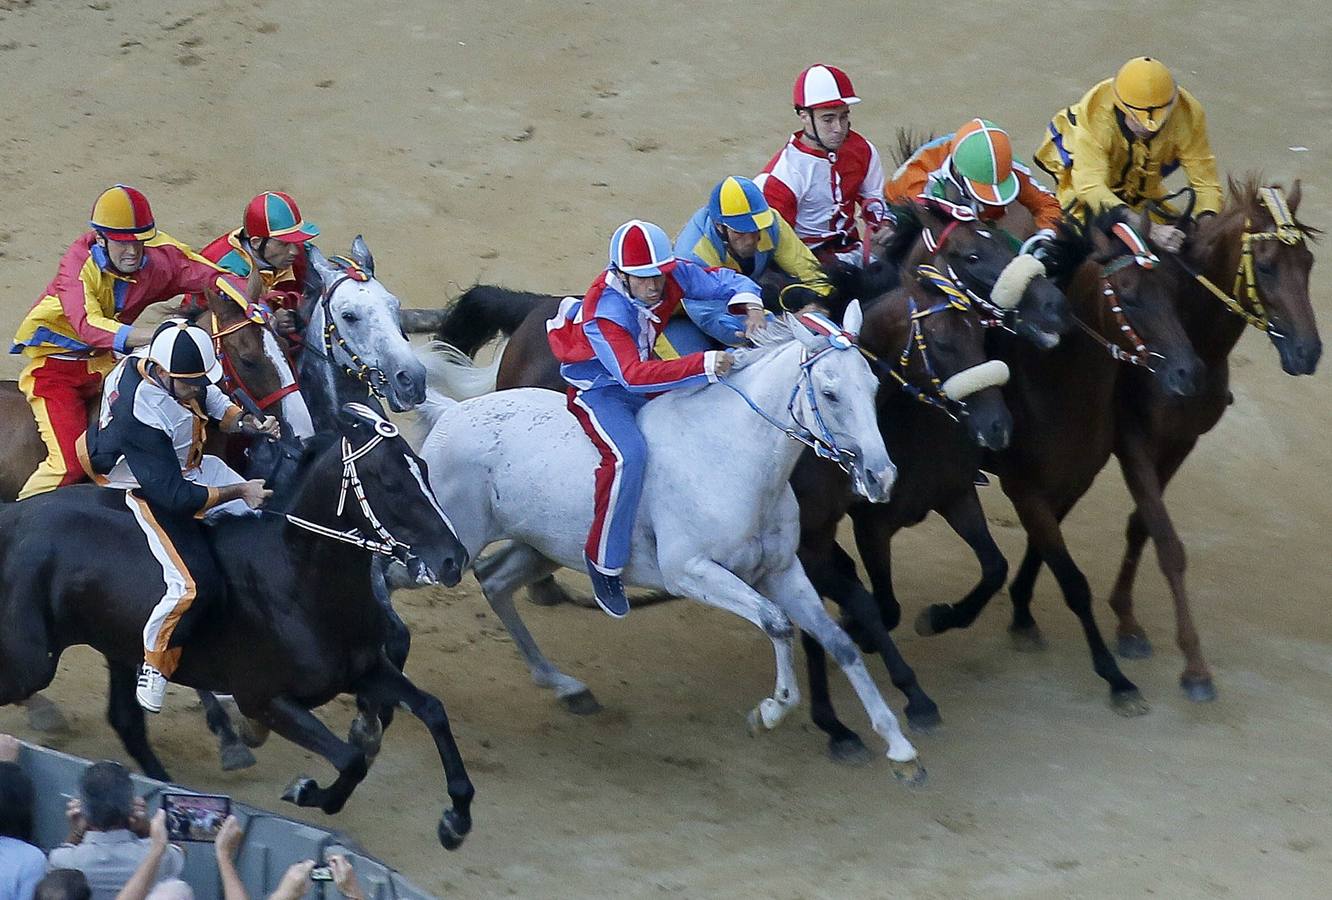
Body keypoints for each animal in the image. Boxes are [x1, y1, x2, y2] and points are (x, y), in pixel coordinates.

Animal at [0, 404, 476, 846]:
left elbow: (432, 710)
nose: (454, 559)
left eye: (424, 469)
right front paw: (305, 791)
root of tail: (15, 517)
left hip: (113, 646)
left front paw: (455, 820)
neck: (298, 580)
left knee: (126, 720)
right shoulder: (263, 699)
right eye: (390, 482)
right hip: (32, 662)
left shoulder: (363, 669)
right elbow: (351, 761)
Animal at [420, 303, 921, 782]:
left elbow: (839, 642)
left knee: (495, 581)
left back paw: (565, 687)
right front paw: (770, 711)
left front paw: (899, 746)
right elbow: (777, 624)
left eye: (873, 387)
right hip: (448, 551)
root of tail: (450, 414)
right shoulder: (692, 573)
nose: (881, 476)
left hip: (541, 549)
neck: (732, 456)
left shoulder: (781, 571)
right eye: (831, 394)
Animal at [1097, 177, 1316, 697]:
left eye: (1309, 264)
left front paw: (1126, 619)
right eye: (1266, 266)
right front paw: (1194, 665)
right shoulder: (1131, 439)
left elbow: (1143, 526)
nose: (1310, 351)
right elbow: (1168, 544)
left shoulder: (1182, 442)